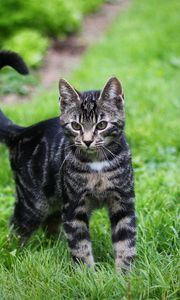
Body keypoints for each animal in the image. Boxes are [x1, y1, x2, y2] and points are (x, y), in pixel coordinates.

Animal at [0, 52, 135, 272]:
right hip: (33, 202)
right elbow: (80, 245)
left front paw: (125, 275)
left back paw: (53, 248)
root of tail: (22, 131)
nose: (87, 141)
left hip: (54, 198)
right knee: (15, 227)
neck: (97, 165)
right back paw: (12, 254)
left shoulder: (123, 200)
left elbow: (126, 242)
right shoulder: (74, 205)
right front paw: (86, 275)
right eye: (76, 125)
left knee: (51, 224)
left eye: (102, 125)